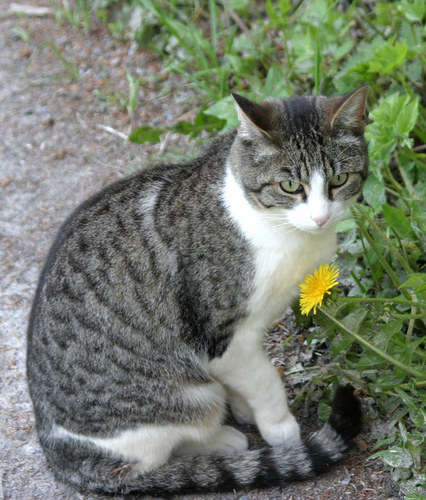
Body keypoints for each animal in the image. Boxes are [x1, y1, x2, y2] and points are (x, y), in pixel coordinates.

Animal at [26, 84, 368, 494]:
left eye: (339, 180)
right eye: (290, 186)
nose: (320, 217)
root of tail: (57, 452)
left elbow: (245, 381)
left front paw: (244, 407)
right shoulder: (224, 339)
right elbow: (264, 379)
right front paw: (279, 427)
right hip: (182, 399)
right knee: (155, 458)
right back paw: (222, 441)